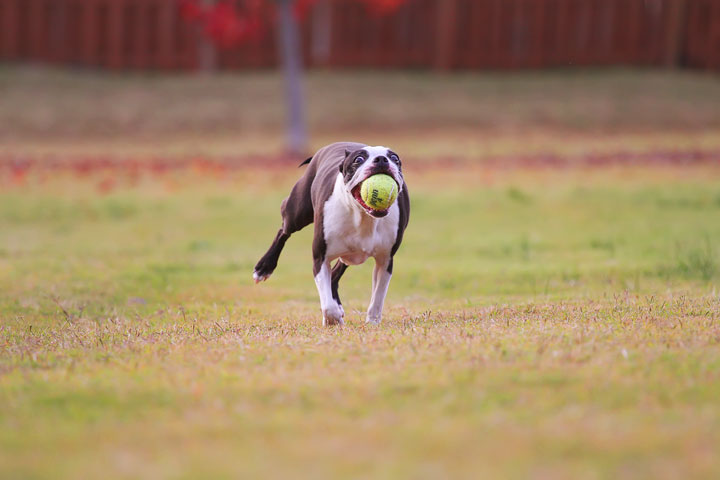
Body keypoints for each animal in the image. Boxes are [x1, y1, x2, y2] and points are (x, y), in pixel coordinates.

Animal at [253, 141, 410, 324]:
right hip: (297, 212)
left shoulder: (385, 261)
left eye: (394, 158)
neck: (363, 216)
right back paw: (263, 268)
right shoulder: (320, 258)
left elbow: (377, 299)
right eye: (358, 159)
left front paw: (372, 323)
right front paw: (333, 320)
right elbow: (328, 305)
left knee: (335, 274)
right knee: (283, 230)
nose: (382, 159)